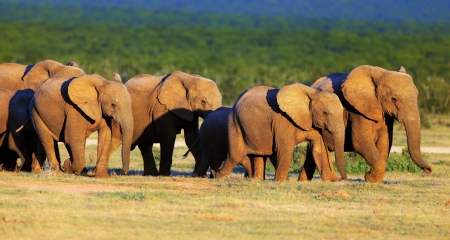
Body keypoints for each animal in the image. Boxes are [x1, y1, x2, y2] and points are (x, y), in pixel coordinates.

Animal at [216, 83, 346, 181]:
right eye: (325, 113)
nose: (342, 179)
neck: (312, 92)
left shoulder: (312, 121)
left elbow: (319, 148)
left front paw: (330, 181)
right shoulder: (283, 120)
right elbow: (287, 148)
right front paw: (280, 181)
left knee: (261, 154)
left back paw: (258, 179)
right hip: (234, 122)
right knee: (235, 155)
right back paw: (219, 177)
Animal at [298, 64, 432, 183]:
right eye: (394, 99)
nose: (429, 169)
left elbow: (385, 141)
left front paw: (373, 180)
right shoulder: (356, 110)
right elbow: (360, 141)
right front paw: (370, 178)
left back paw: (302, 181)